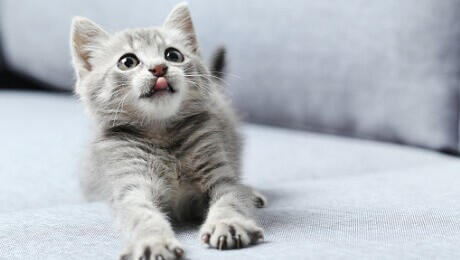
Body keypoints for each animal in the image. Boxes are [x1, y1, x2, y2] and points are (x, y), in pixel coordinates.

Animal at [70, 2, 268, 260]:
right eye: (127, 61)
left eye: (173, 55)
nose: (159, 68)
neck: (162, 135)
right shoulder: (132, 186)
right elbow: (142, 214)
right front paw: (153, 241)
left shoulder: (220, 174)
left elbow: (231, 198)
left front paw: (229, 223)